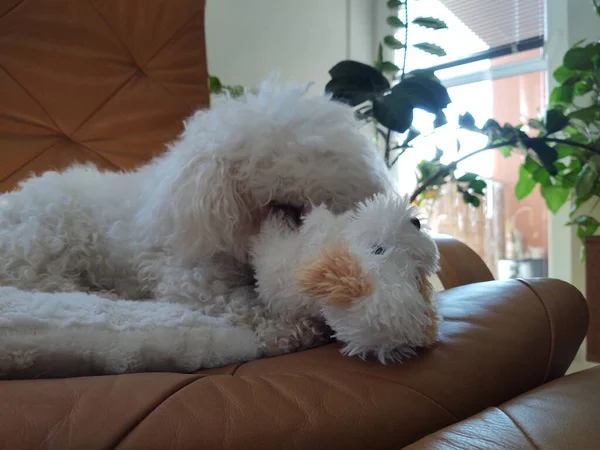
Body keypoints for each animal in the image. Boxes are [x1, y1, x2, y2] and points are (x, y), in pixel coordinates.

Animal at [0, 81, 394, 376]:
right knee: (48, 283)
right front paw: (290, 328)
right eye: (278, 206)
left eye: (327, 202)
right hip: (44, 243)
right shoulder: (194, 280)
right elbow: (242, 303)